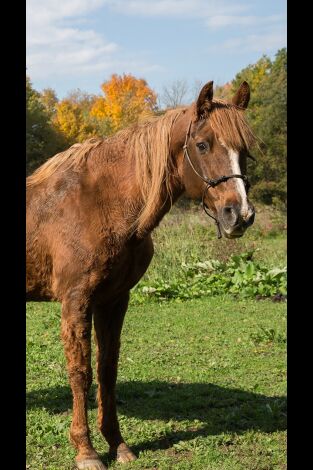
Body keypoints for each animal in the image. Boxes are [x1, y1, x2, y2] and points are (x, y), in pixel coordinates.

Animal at [26, 81, 256, 470]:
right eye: (203, 145)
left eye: (244, 149)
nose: (238, 215)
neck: (101, 203)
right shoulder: (76, 301)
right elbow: (80, 372)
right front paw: (86, 451)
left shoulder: (114, 300)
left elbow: (107, 370)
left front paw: (117, 444)